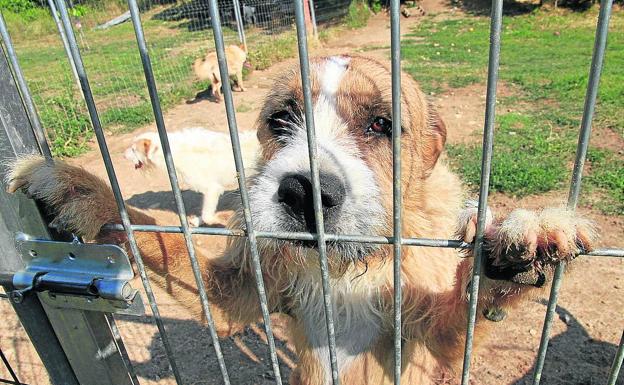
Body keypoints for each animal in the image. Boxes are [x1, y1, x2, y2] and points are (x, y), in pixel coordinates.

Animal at [123, 127, 260, 225]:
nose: (122, 156)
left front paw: (220, 220)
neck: (172, 152)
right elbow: (205, 213)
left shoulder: (212, 189)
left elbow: (207, 216)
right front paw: (198, 221)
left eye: (134, 149)